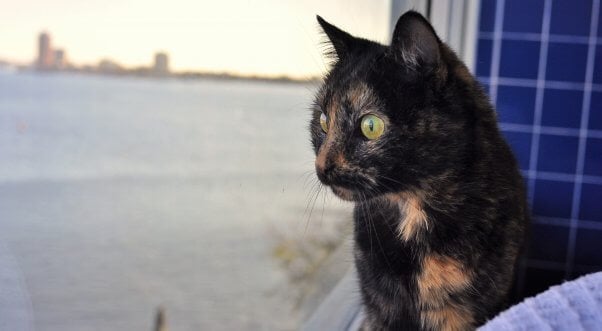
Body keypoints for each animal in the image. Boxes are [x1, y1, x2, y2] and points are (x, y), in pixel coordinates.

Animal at [310, 11, 524, 331]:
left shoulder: (467, 312)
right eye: (323, 121)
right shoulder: (378, 309)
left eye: (371, 126)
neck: (412, 213)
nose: (322, 167)